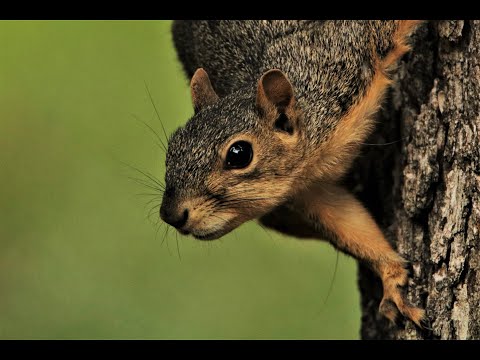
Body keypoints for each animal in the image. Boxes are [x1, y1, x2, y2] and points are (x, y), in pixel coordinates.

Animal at [162, 21, 428, 328]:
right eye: (173, 146)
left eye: (239, 154)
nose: (171, 214)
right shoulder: (309, 191)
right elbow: (350, 226)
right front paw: (391, 278)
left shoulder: (352, 51)